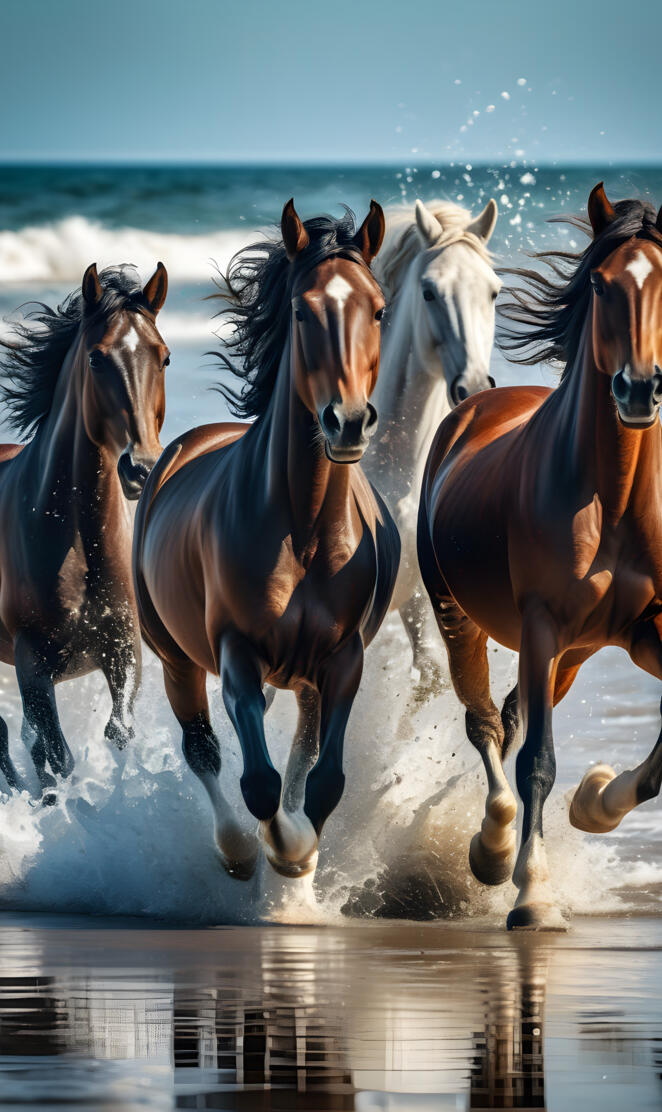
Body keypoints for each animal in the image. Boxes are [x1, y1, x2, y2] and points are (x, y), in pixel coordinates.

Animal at [0, 262, 169, 796]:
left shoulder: (123, 648)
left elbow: (119, 730)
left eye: (165, 357)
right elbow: (56, 753)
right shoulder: (32, 664)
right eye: (96, 358)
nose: (142, 468)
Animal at [133, 200, 400, 881]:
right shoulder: (236, 652)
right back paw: (234, 850)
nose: (348, 421)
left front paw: (301, 853)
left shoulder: (343, 660)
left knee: (300, 752)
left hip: (302, 677)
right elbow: (258, 781)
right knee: (203, 751)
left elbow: (322, 779)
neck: (304, 533)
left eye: (378, 309)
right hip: (176, 659)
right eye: (302, 311)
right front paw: (279, 851)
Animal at [417, 183, 662, 929]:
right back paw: (492, 850)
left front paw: (597, 801)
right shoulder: (542, 623)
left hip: (576, 653)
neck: (612, 500)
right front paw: (533, 895)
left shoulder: (647, 629)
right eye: (603, 284)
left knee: (511, 714)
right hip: (466, 620)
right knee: (487, 724)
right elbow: (537, 763)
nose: (639, 389)